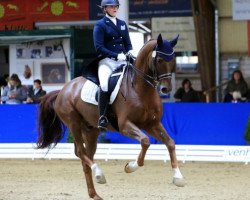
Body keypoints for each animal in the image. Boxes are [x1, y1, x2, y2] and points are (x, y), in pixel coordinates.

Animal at [37, 33, 186, 199]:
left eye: (173, 59)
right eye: (159, 60)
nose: (166, 89)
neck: (140, 89)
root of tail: (63, 89)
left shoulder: (152, 124)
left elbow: (170, 143)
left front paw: (178, 178)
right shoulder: (125, 125)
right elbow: (145, 141)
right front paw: (130, 166)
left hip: (91, 130)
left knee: (85, 157)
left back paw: (94, 193)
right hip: (73, 123)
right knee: (81, 152)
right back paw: (99, 174)